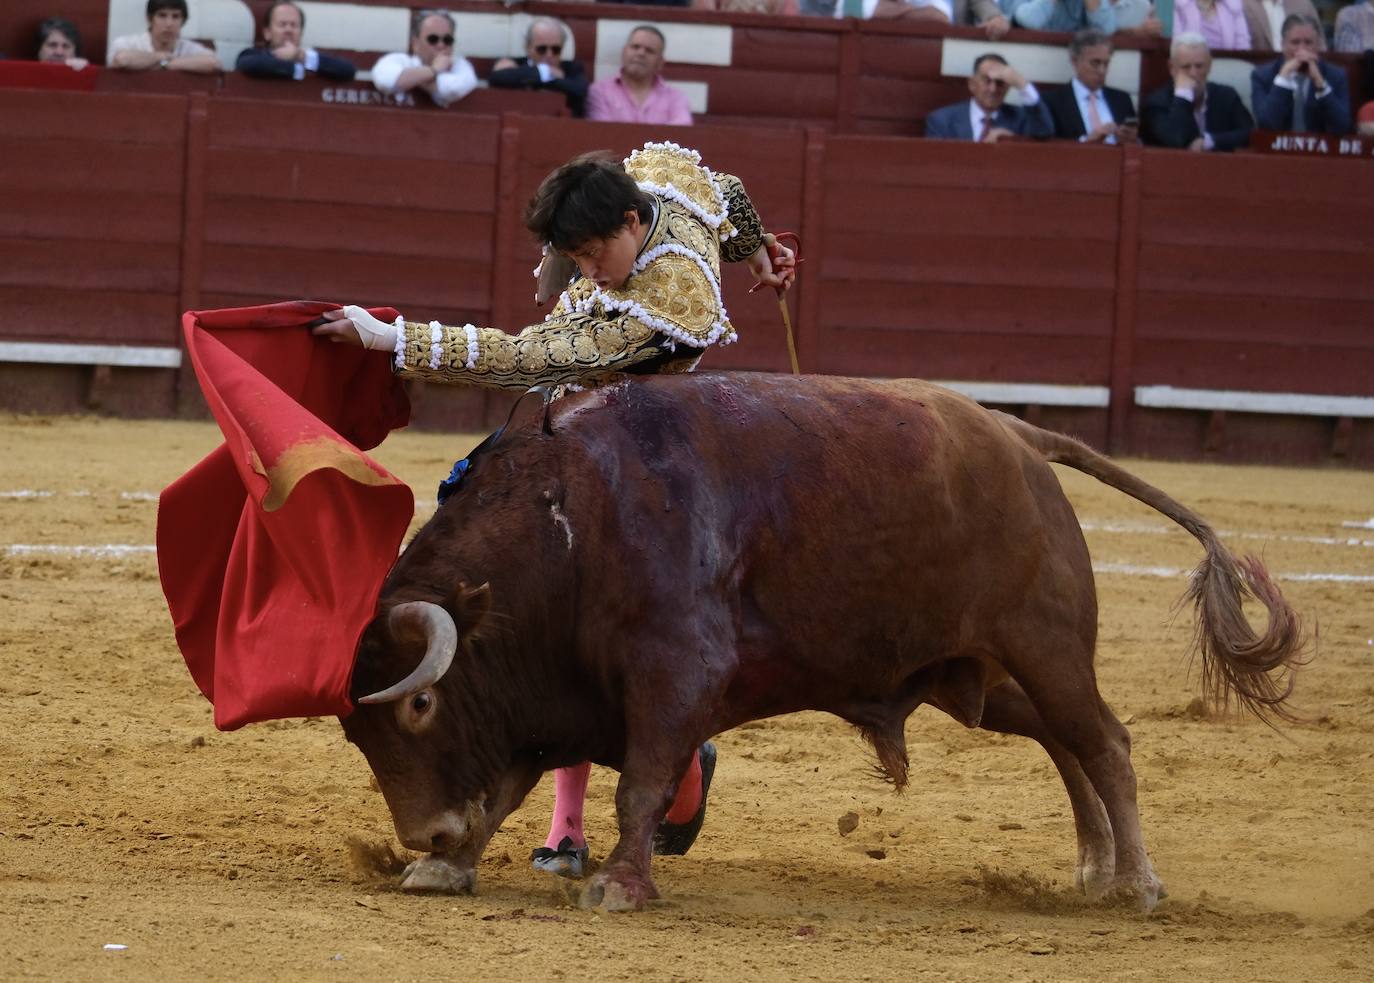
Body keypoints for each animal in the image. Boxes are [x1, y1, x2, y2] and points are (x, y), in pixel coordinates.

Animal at [338, 371, 1302, 912]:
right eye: (356, 728)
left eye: (420, 702)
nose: (422, 833)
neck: (566, 520)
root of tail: (1021, 434)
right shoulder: (551, 695)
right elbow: (505, 787)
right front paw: (449, 867)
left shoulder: (671, 675)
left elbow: (641, 785)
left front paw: (618, 884)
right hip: (976, 674)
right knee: (1065, 740)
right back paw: (1096, 867)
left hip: (1046, 642)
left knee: (1105, 740)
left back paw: (1137, 883)